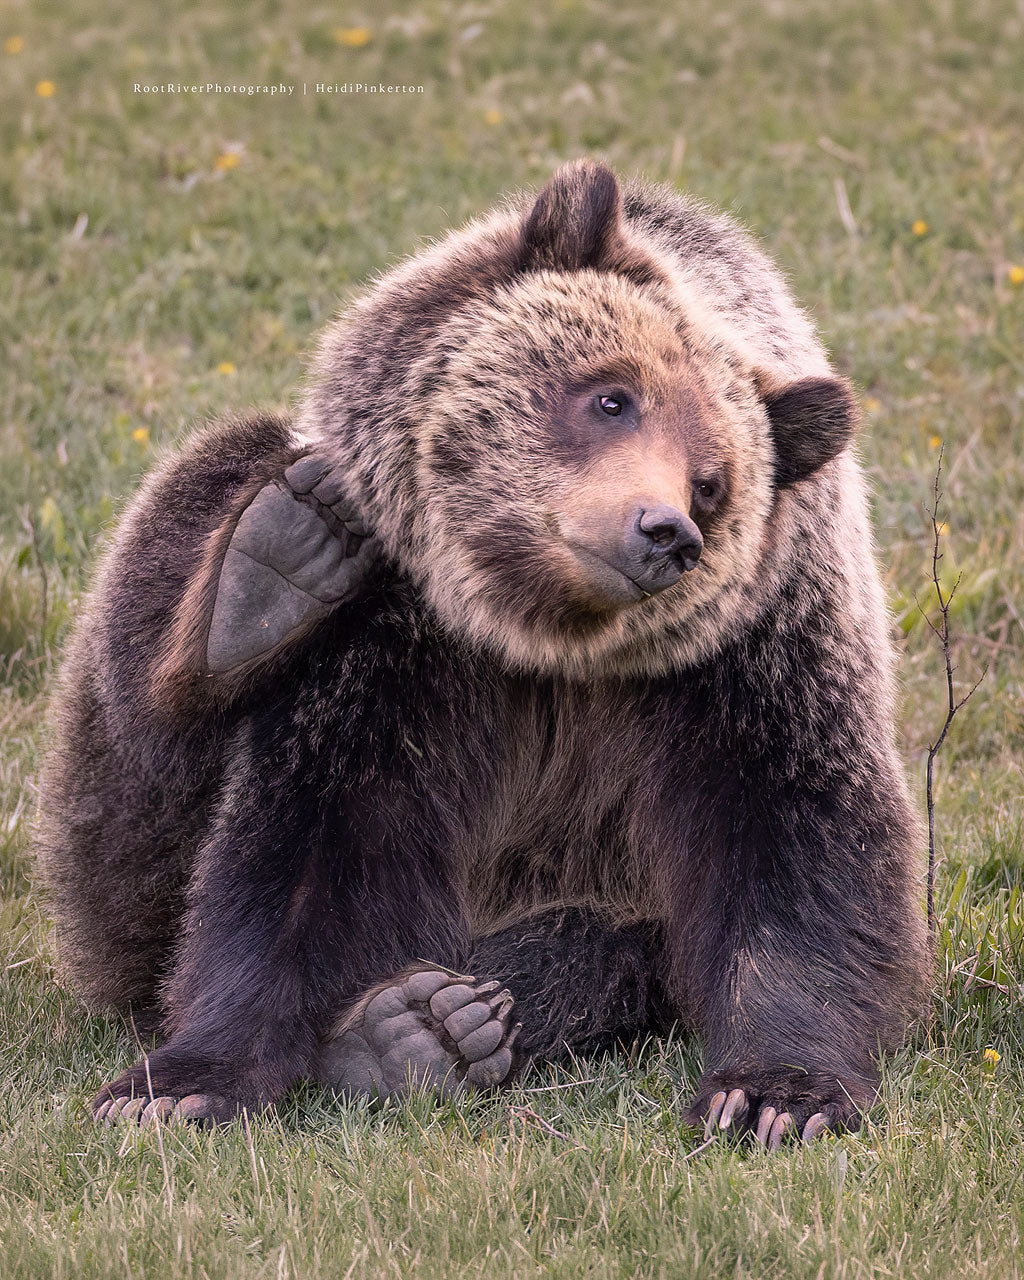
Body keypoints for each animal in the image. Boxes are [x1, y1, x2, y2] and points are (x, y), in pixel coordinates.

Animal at [36, 160, 931, 1146]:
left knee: (599, 947)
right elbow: (308, 839)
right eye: (611, 395)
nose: (664, 531)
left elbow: (798, 839)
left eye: (712, 480)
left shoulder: (753, 656)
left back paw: (431, 1023)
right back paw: (261, 577)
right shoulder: (398, 633)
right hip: (116, 837)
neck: (533, 636)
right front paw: (183, 1082)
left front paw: (775, 1095)